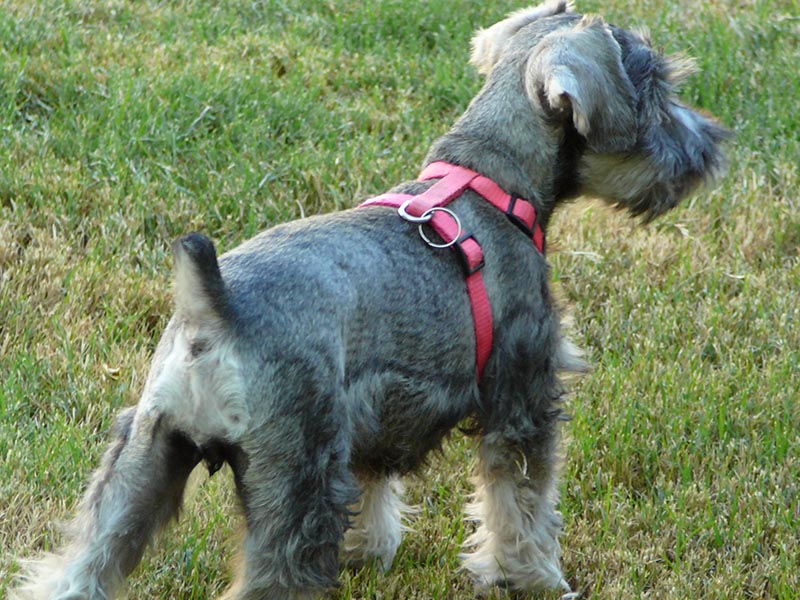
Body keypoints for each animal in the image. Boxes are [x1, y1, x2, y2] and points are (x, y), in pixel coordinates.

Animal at [14, 2, 724, 596]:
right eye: (658, 93)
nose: (710, 145)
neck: (489, 179)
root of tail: (212, 313)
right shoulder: (521, 398)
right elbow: (521, 505)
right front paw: (535, 579)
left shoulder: (378, 416)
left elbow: (377, 485)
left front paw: (372, 552)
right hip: (294, 484)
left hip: (141, 463)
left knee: (79, 568)